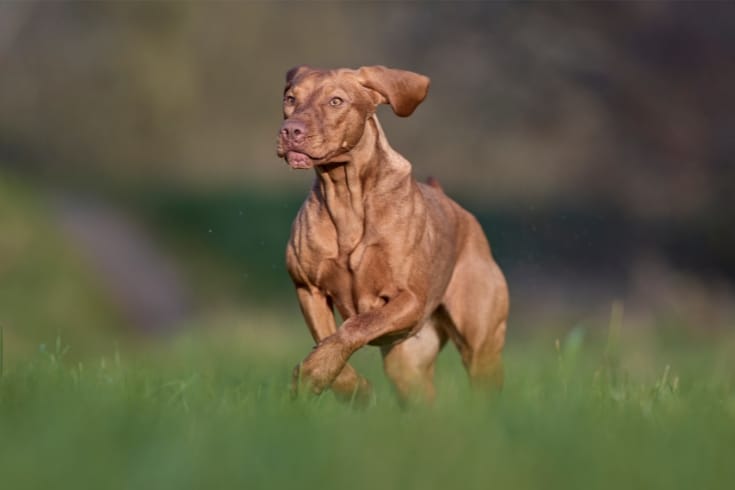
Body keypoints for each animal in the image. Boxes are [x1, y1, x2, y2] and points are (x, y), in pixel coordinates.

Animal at [276, 64, 512, 402]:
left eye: (336, 101)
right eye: (290, 99)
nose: (290, 130)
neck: (346, 195)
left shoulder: (410, 300)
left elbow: (358, 325)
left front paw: (316, 371)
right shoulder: (309, 288)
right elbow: (328, 338)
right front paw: (347, 386)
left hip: (482, 346)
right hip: (408, 365)